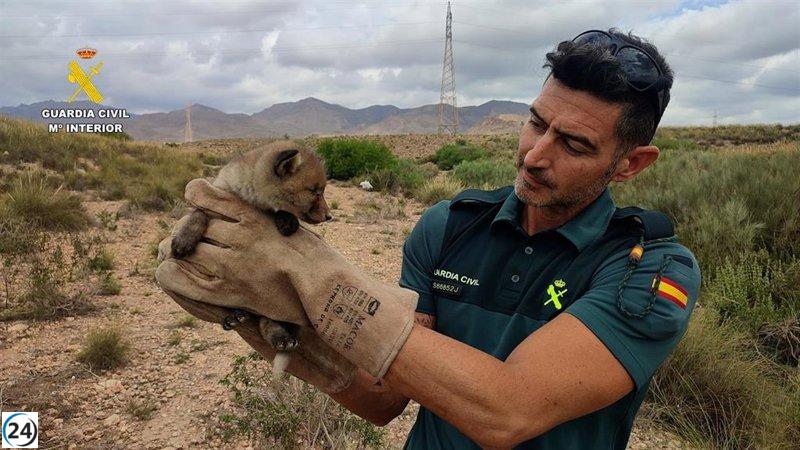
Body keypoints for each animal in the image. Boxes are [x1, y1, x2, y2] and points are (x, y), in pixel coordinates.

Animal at [170, 140, 331, 376]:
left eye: (322, 190)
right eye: (314, 191)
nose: (329, 216)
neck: (251, 199)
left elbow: (277, 211)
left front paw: (287, 220)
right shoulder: (214, 197)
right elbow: (197, 215)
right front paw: (184, 239)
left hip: (271, 301)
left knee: (267, 322)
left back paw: (280, 338)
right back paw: (234, 315)